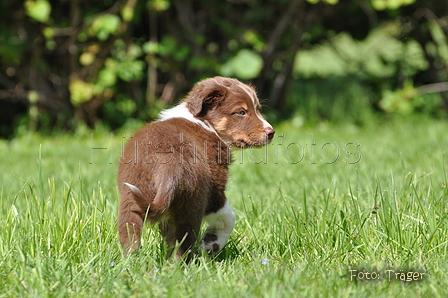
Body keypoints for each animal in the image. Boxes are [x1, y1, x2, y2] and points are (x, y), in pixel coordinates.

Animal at [117, 76, 274, 260]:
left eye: (258, 109)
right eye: (241, 112)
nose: (271, 132)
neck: (204, 122)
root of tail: (169, 166)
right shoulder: (215, 189)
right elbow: (229, 216)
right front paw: (210, 243)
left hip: (131, 200)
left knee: (131, 237)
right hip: (192, 203)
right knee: (183, 244)